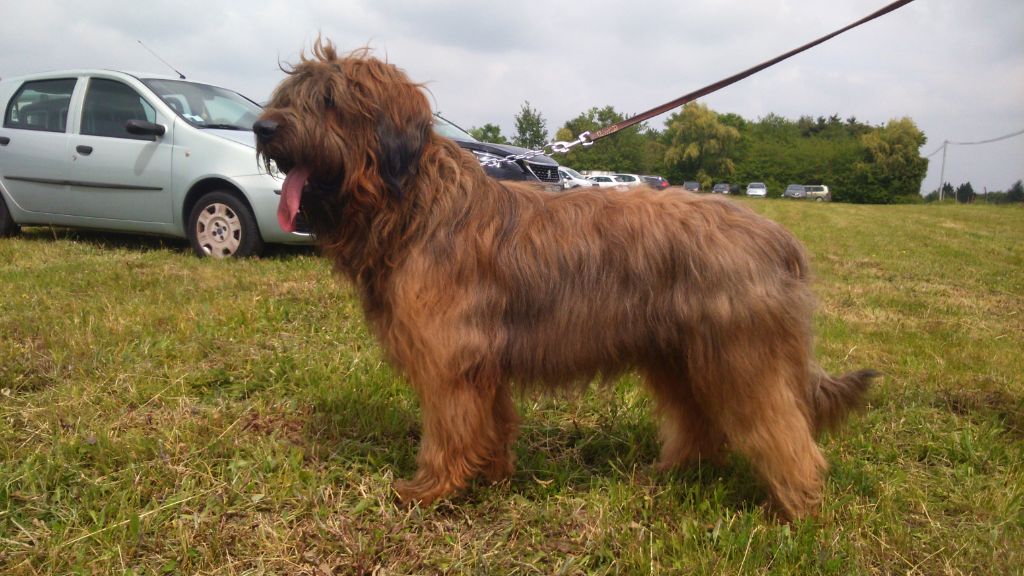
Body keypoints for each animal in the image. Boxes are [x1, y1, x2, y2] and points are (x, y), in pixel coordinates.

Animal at [251, 40, 876, 520]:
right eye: (288, 98)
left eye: (330, 102)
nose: (262, 128)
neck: (412, 206)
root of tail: (779, 239)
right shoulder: (483, 360)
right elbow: (492, 421)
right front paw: (493, 475)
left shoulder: (450, 357)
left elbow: (449, 428)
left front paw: (428, 490)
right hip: (679, 355)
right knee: (700, 423)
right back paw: (669, 475)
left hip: (741, 359)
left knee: (782, 430)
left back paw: (795, 511)